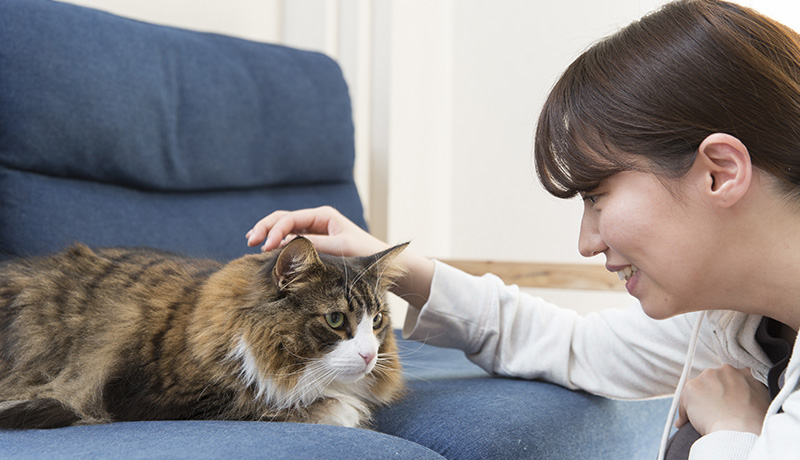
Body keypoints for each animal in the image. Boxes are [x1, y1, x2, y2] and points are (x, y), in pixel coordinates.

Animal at [0, 235, 406, 430]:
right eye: (335, 320)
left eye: (377, 321)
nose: (370, 356)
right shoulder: (149, 397)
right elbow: (258, 404)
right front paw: (344, 411)